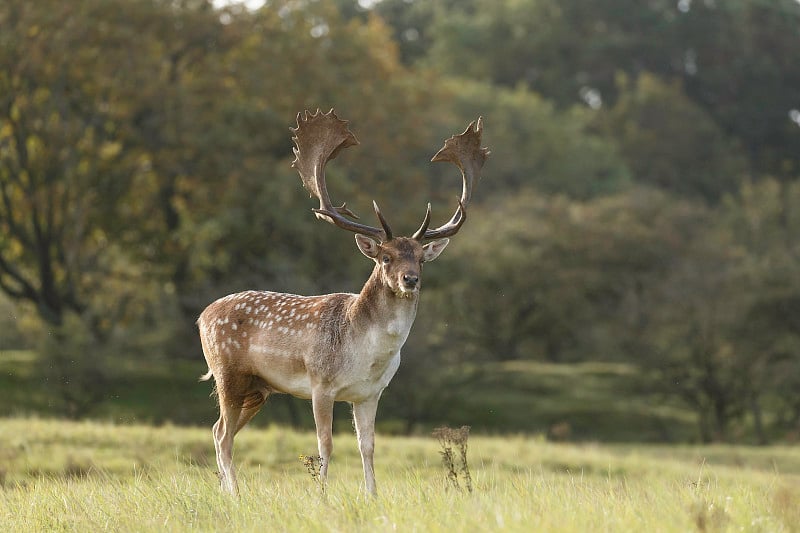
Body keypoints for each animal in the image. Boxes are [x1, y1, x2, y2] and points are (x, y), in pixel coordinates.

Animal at [198, 108, 488, 494]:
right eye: (385, 258)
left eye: (421, 259)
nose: (410, 279)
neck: (366, 354)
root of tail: (202, 315)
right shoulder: (320, 383)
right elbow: (326, 444)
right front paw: (320, 494)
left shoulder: (370, 393)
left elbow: (368, 445)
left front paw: (372, 495)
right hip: (227, 373)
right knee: (223, 434)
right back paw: (235, 493)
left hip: (258, 388)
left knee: (218, 430)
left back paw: (226, 490)